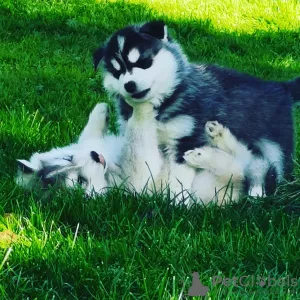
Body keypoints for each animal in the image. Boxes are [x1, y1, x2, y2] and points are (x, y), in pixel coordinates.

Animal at [92, 19, 300, 196]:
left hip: (275, 149)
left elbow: (179, 177)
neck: (164, 104)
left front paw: (177, 202)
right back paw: (217, 136)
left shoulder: (186, 137)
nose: (129, 85)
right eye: (117, 72)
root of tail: (281, 87)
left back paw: (255, 190)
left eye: (144, 62)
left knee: (265, 170)